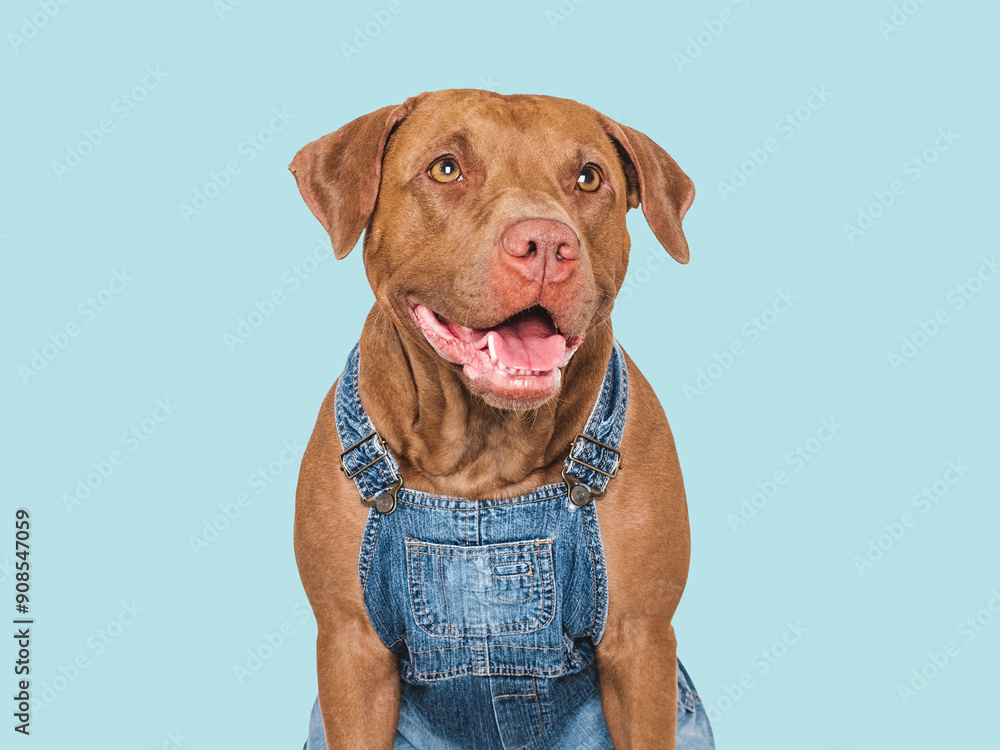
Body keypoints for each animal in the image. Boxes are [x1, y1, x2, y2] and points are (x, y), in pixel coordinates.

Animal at [288, 91, 696, 748]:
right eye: (446, 169)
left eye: (589, 178)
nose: (547, 243)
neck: (483, 456)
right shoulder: (352, 650)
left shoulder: (640, 643)